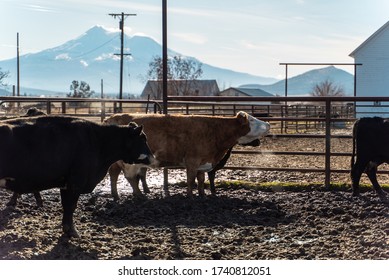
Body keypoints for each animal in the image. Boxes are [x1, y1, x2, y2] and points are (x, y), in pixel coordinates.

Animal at [0, 115, 155, 237]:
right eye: (143, 139)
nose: (152, 158)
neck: (98, 140)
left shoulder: (65, 183)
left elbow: (66, 206)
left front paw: (67, 229)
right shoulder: (76, 182)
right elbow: (71, 206)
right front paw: (72, 231)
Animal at [105, 110, 270, 198]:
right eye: (252, 120)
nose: (268, 124)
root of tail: (112, 117)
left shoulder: (202, 161)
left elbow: (201, 179)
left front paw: (202, 195)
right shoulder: (192, 160)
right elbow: (191, 179)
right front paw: (190, 196)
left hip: (117, 162)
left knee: (114, 174)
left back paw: (116, 195)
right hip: (129, 162)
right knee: (130, 177)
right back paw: (139, 195)